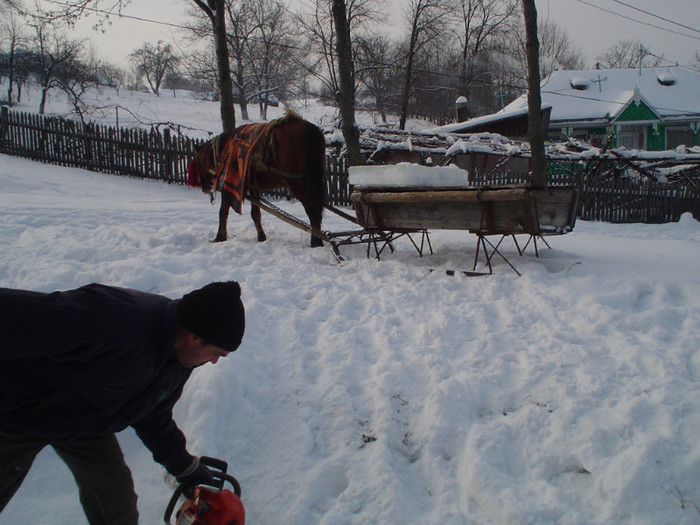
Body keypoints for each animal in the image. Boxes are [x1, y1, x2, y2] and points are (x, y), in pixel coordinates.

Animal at [187, 111, 326, 247]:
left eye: (196, 162)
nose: (204, 188)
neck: (225, 149)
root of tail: (310, 129)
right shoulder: (253, 186)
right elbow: (255, 213)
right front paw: (261, 236)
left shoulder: (228, 183)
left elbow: (223, 211)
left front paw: (220, 236)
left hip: (297, 183)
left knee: (312, 209)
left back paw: (316, 241)